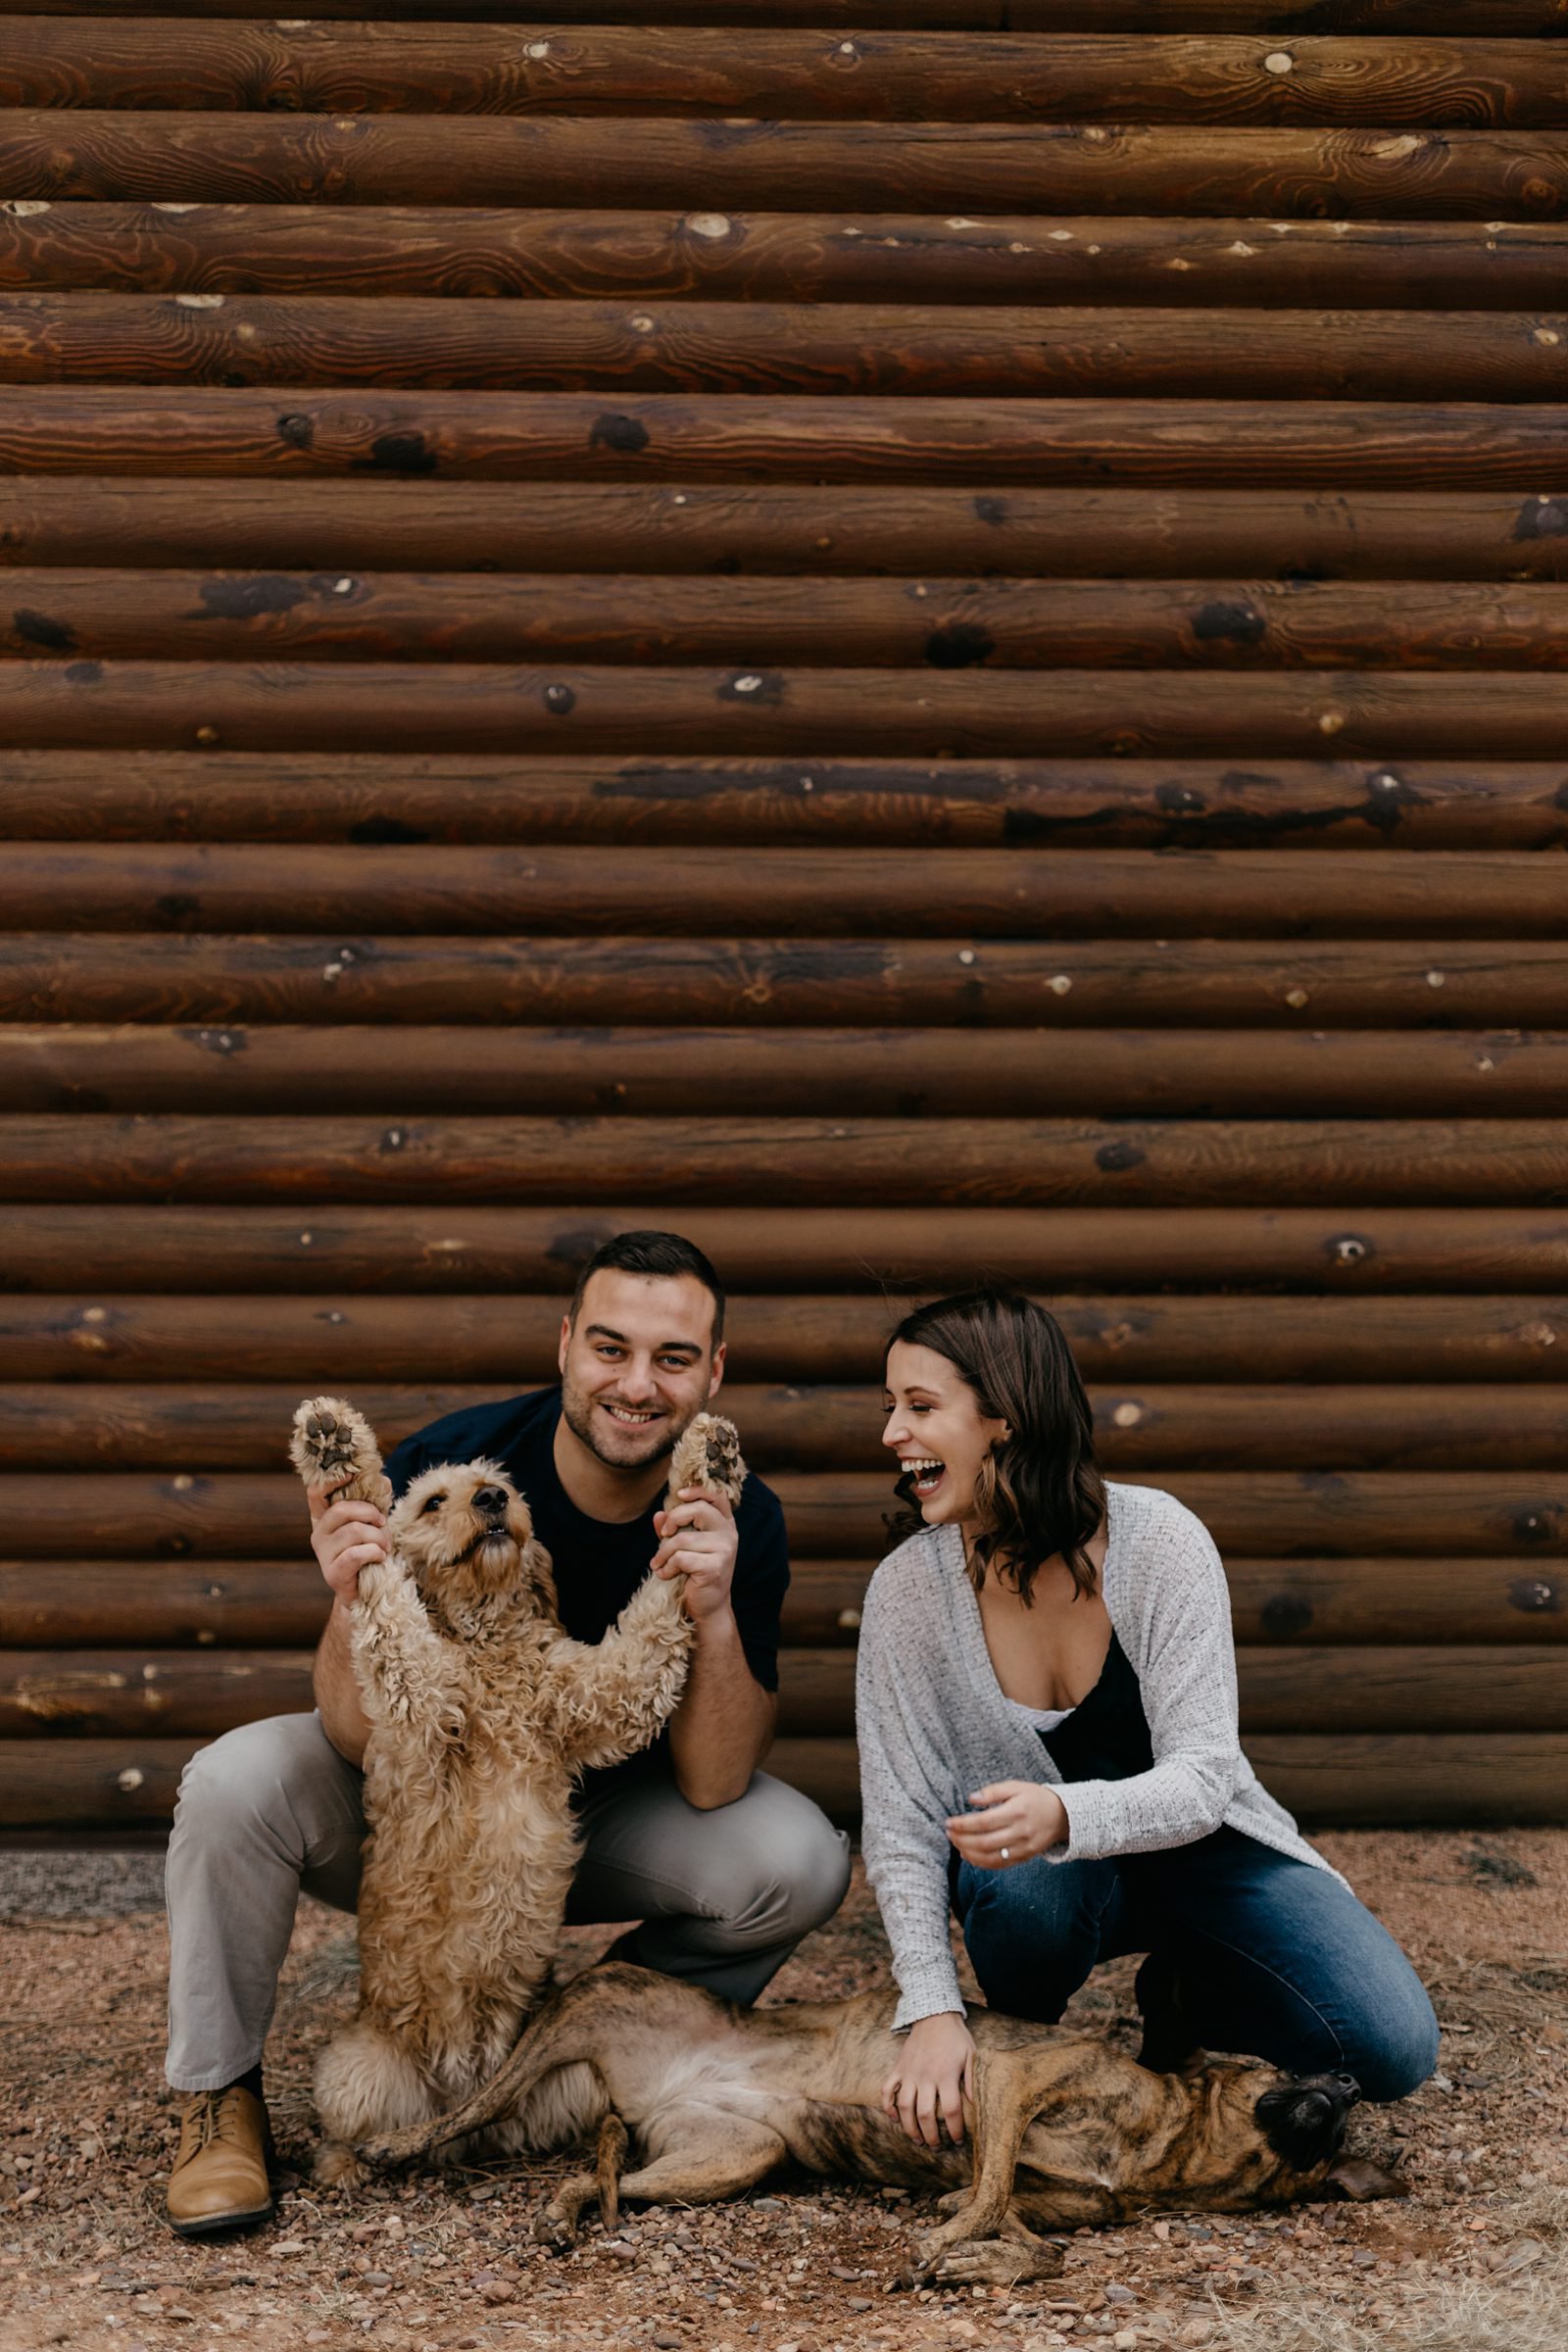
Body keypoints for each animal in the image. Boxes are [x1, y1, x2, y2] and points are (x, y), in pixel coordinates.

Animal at [355, 1966, 1400, 2277]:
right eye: (1283, 2065)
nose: (1352, 2082)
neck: (1164, 2151)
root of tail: (649, 2093)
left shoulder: (1053, 2197)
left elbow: (1038, 2242)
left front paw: (980, 2265)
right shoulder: (1008, 2079)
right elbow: (984, 2193)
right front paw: (950, 2247)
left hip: (731, 2159)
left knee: (592, 2173)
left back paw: (566, 2213)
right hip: (582, 2009)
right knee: (472, 2104)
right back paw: (390, 2146)